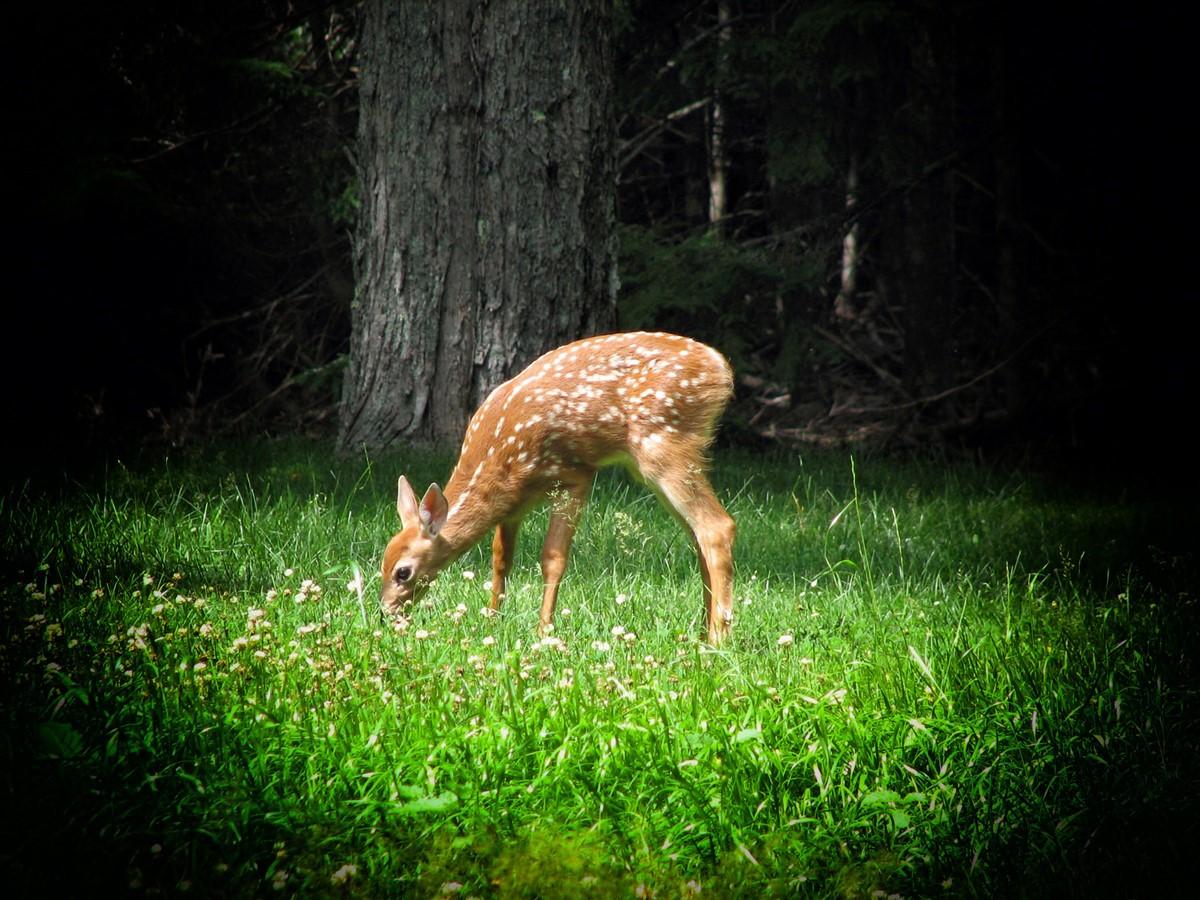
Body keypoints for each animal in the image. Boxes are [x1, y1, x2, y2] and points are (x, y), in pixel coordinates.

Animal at [379, 331, 736, 644]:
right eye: (382, 561)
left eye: (402, 572)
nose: (386, 614)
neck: (500, 459)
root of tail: (721, 366)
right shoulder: (513, 506)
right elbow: (501, 559)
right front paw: (492, 620)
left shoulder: (574, 476)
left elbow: (553, 558)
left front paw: (543, 632)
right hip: (655, 464)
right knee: (697, 536)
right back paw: (702, 632)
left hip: (665, 445)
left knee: (717, 526)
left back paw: (718, 637)